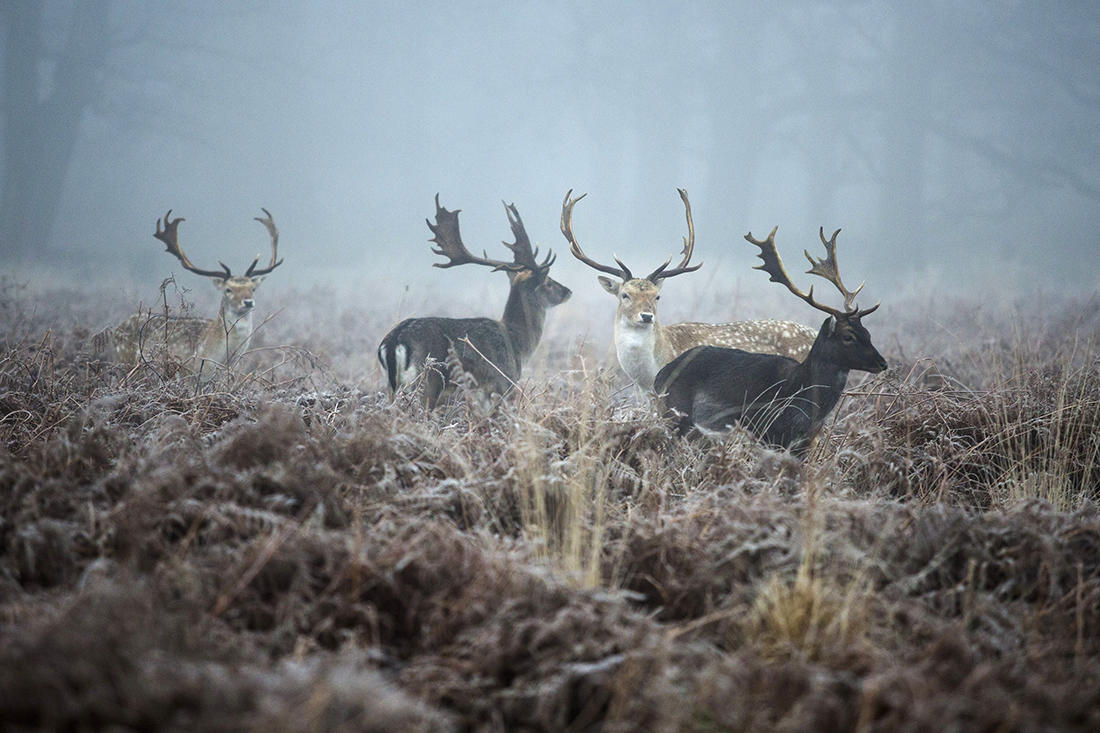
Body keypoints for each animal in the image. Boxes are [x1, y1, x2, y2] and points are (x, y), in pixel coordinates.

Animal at [97, 206, 283, 374]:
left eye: (253, 288)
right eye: (228, 290)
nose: (248, 302)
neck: (218, 357)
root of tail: (115, 329)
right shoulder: (190, 373)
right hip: (124, 362)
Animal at [378, 193, 572, 407]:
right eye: (549, 282)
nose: (568, 291)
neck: (518, 344)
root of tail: (394, 340)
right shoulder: (503, 381)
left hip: (392, 386)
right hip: (429, 378)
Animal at [651, 225, 884, 453]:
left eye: (868, 333)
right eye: (848, 336)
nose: (883, 363)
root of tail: (659, 376)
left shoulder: (803, 442)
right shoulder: (769, 431)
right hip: (677, 415)